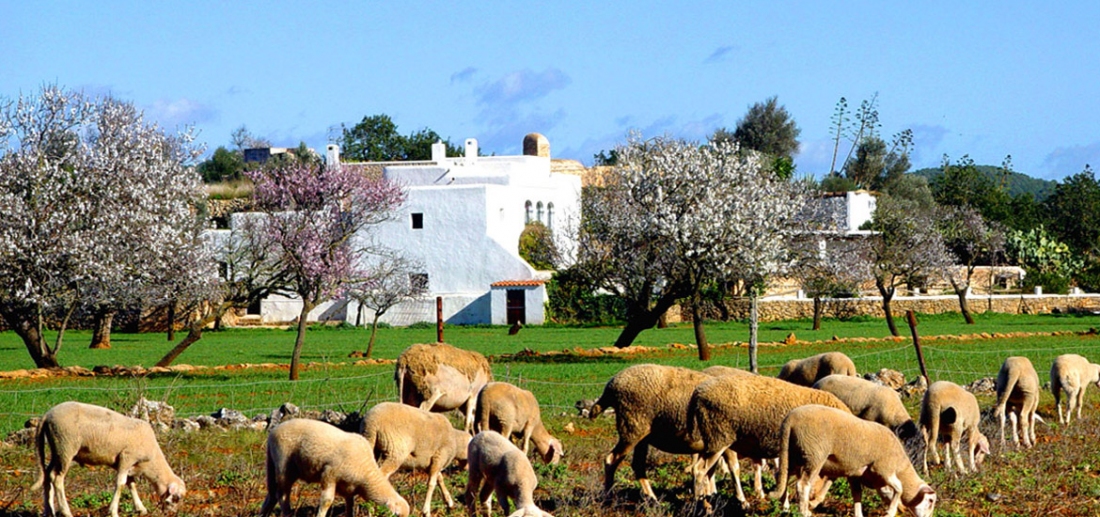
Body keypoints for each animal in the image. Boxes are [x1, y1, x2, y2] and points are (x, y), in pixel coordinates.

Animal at [33, 402, 185, 517]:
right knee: (57, 478)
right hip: (66, 447)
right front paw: (113, 512)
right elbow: (121, 484)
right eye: (176, 498)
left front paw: (140, 508)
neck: (151, 461)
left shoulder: (129, 465)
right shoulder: (126, 458)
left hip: (56, 449)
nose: (172, 514)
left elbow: (131, 484)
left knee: (47, 475)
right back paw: (66, 512)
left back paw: (48, 511)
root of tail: (47, 415)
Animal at [259, 418, 411, 514]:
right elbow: (327, 501)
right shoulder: (329, 474)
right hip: (284, 466)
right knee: (282, 495)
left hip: (272, 465)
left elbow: (350, 504)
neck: (366, 473)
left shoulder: (349, 488)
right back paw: (287, 513)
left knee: (271, 495)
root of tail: (273, 431)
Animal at [686, 371, 849, 503]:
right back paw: (702, 501)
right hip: (719, 438)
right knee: (700, 471)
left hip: (713, 439)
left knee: (706, 471)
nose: (814, 499)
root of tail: (698, 393)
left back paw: (710, 497)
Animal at [765, 407, 937, 514]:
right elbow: (899, 488)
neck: (901, 467)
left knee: (781, 476)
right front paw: (890, 511)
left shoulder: (854, 473)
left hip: (794, 454)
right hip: (814, 455)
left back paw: (785, 507)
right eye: (930, 501)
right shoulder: (883, 469)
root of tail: (790, 419)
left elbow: (855, 495)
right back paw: (803, 512)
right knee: (803, 485)